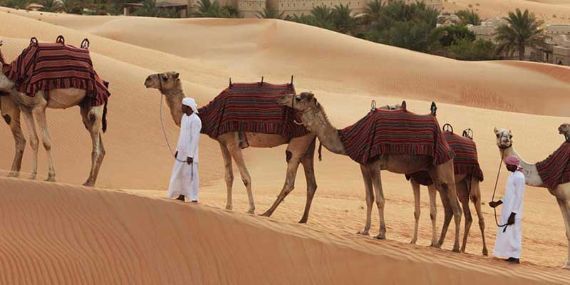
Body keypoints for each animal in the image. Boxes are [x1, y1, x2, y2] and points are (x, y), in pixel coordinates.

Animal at [0, 41, 106, 185]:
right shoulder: (25, 108)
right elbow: (34, 140)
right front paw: (32, 175)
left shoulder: (39, 106)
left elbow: (46, 141)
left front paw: (51, 176)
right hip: (85, 108)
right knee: (100, 145)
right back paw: (90, 180)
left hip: (96, 105)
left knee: (96, 145)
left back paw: (89, 182)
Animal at [144, 71, 318, 222]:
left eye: (165, 77)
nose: (147, 80)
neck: (207, 115)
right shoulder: (223, 143)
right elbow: (229, 176)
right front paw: (228, 207)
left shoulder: (233, 143)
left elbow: (246, 177)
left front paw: (251, 209)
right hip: (308, 146)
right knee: (311, 184)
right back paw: (302, 220)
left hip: (298, 141)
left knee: (290, 179)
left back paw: (266, 213)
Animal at [278, 92, 462, 250]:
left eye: (299, 98)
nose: (282, 98)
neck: (347, 140)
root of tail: (446, 143)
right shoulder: (364, 166)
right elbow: (369, 198)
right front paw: (365, 230)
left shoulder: (374, 164)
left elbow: (380, 199)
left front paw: (381, 233)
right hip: (434, 174)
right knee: (449, 207)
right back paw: (437, 244)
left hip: (444, 169)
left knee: (457, 207)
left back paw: (455, 247)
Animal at [492, 127, 568, 268]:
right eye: (498, 134)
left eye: (511, 135)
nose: (506, 140)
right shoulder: (561, 198)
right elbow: (568, 232)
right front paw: (567, 265)